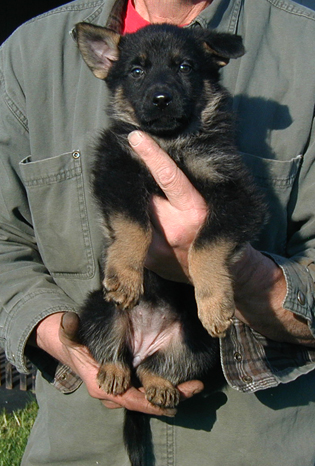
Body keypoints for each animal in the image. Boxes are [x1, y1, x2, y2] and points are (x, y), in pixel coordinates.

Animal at [76, 22, 266, 466]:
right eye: (136, 71)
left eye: (185, 66)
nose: (161, 98)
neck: (170, 143)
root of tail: (143, 344)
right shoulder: (118, 170)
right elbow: (134, 225)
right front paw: (126, 275)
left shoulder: (235, 193)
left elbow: (205, 244)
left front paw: (214, 301)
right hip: (99, 310)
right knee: (113, 351)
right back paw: (113, 371)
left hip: (195, 344)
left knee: (153, 369)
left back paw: (160, 385)